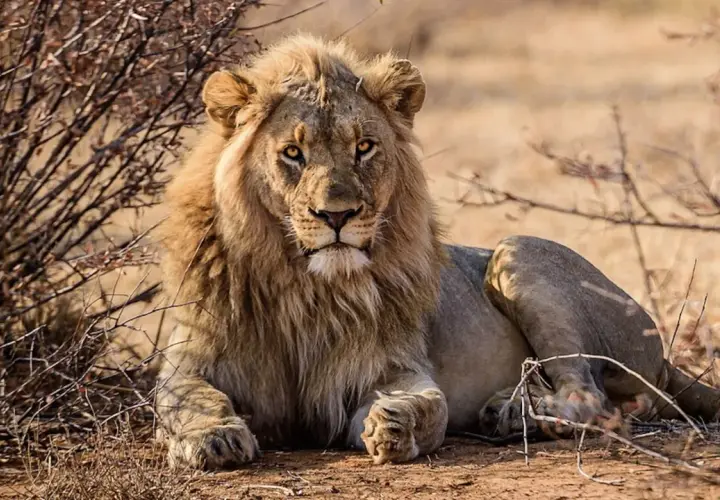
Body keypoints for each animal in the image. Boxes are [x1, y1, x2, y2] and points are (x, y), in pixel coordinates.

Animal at [156, 34, 720, 469]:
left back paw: (514, 414)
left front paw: (394, 425)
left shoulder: (390, 367)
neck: (305, 286)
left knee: (594, 399)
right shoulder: (190, 358)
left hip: (518, 254)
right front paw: (214, 438)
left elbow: (430, 404)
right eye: (292, 153)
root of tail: (663, 355)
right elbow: (186, 398)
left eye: (364, 147)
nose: (337, 216)